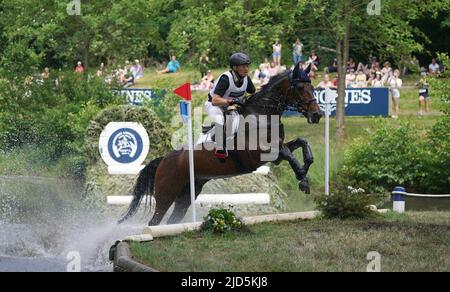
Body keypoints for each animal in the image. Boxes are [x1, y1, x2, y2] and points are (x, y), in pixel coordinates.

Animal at [118, 62, 322, 226]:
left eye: (312, 87)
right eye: (300, 87)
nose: (317, 115)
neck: (261, 115)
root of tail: (163, 160)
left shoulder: (277, 150)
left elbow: (301, 144)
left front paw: (304, 172)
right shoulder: (261, 153)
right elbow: (288, 153)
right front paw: (302, 178)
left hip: (187, 194)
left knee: (172, 220)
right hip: (166, 194)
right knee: (155, 221)